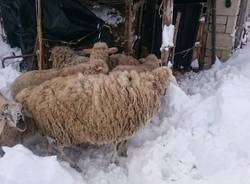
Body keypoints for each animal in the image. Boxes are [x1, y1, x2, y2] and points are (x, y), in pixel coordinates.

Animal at [15, 67, 172, 150]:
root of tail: (30, 95)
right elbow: (117, 147)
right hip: (58, 129)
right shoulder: (122, 128)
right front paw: (115, 161)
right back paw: (74, 166)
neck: (147, 85)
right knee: (58, 150)